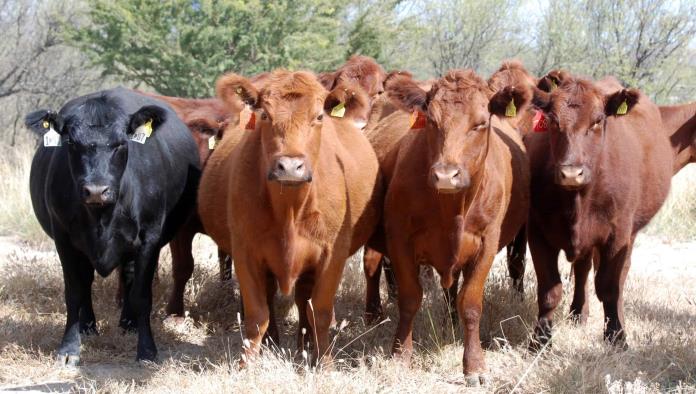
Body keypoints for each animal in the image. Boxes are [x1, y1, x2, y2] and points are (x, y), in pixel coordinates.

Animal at [26, 87, 201, 364]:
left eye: (121, 143)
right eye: (72, 143)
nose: (97, 190)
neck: (103, 217)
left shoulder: (149, 239)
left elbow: (142, 294)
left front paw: (147, 350)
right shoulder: (64, 238)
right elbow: (74, 291)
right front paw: (68, 348)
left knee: (128, 277)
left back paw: (129, 324)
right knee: (88, 281)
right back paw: (87, 327)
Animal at [197, 68, 380, 366]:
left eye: (319, 117)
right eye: (265, 115)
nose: (290, 166)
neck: (289, 209)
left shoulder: (333, 254)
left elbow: (320, 312)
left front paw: (324, 363)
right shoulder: (245, 252)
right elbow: (257, 314)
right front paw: (247, 364)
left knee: (304, 299)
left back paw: (304, 344)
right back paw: (274, 342)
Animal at [378, 70, 532, 382]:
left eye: (481, 123)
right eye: (431, 121)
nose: (446, 175)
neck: (451, 208)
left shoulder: (486, 244)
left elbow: (470, 304)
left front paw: (474, 365)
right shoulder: (399, 240)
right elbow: (410, 298)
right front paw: (401, 354)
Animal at [528, 72, 676, 350]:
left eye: (597, 121)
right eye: (553, 120)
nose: (571, 173)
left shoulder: (617, 235)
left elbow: (609, 287)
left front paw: (616, 336)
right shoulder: (538, 232)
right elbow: (549, 289)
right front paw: (540, 339)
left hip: (629, 234)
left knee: (619, 277)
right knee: (582, 269)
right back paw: (578, 313)